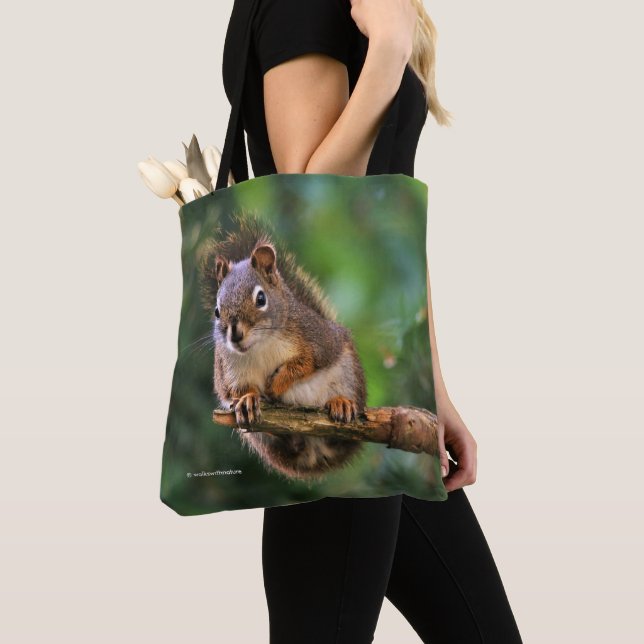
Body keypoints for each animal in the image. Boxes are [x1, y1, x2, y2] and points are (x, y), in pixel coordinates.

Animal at [199, 211, 367, 481]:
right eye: (217, 311)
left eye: (260, 298)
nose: (235, 335)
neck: (260, 346)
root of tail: (315, 453)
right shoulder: (227, 369)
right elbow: (231, 391)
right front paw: (247, 399)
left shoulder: (318, 339)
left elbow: (306, 364)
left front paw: (277, 384)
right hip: (264, 441)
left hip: (349, 373)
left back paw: (341, 404)